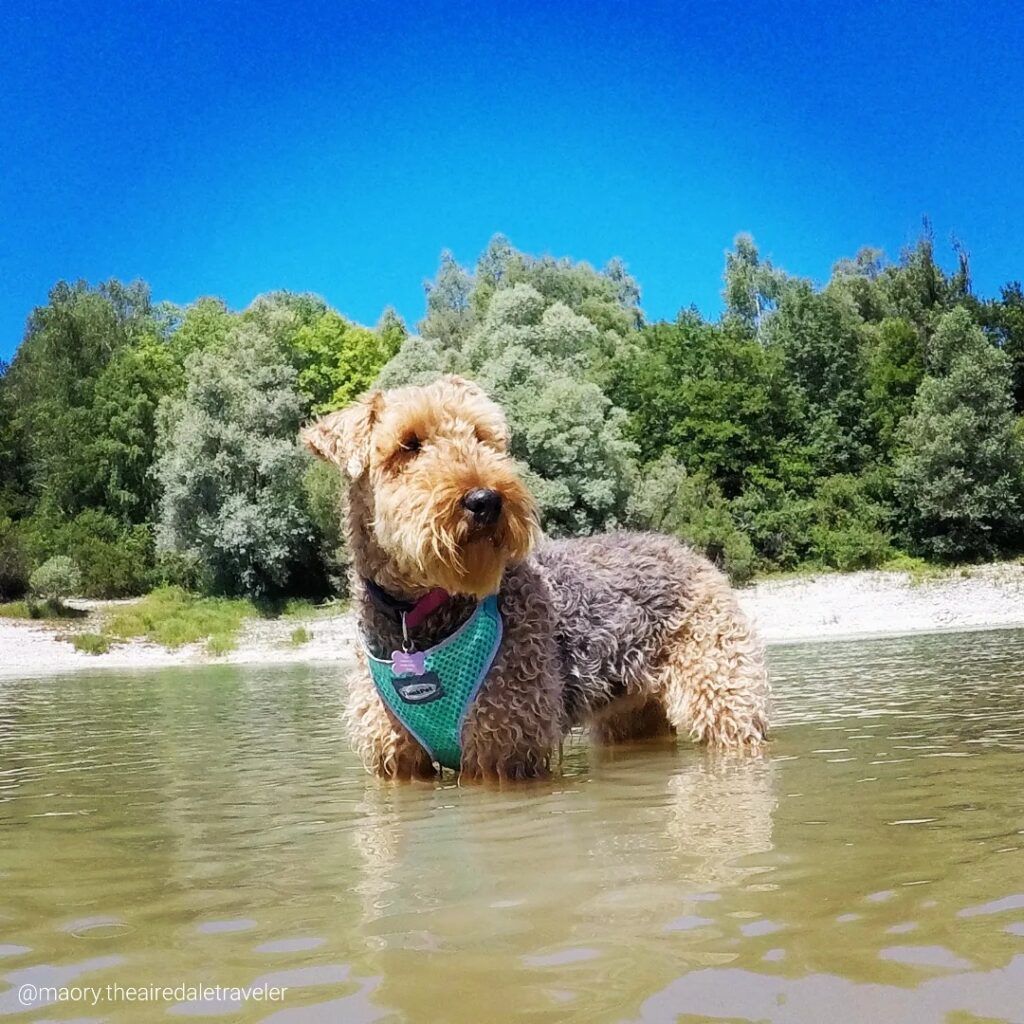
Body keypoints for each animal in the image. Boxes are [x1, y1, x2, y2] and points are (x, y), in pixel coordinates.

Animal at [301, 378, 770, 782]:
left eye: (481, 436)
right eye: (409, 444)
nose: (485, 499)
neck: (416, 617)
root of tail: (687, 550)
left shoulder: (504, 750)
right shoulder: (397, 762)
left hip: (725, 699)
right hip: (630, 716)